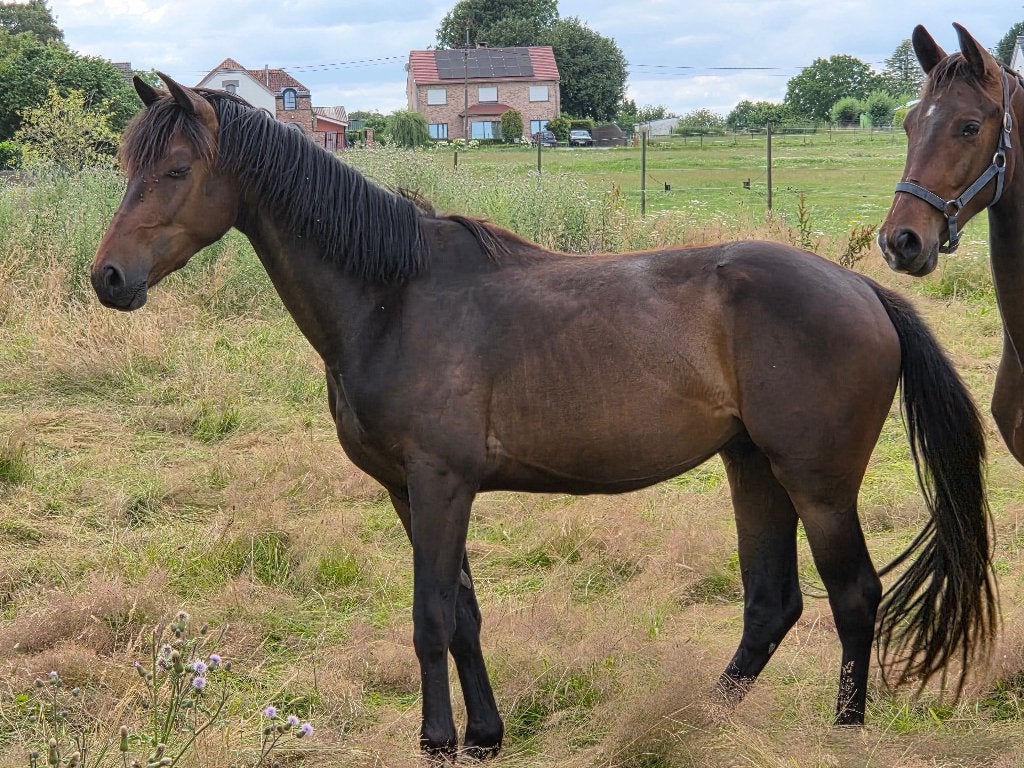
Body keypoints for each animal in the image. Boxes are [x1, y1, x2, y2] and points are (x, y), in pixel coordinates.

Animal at [92, 73, 996, 758]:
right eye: (128, 163)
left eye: (175, 170)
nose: (108, 278)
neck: (393, 297)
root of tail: (864, 289)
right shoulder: (409, 492)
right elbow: (463, 614)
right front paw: (485, 736)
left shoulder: (440, 483)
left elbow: (430, 617)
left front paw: (437, 740)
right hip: (753, 468)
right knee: (772, 604)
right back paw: (696, 720)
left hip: (816, 481)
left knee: (855, 596)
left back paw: (843, 731)